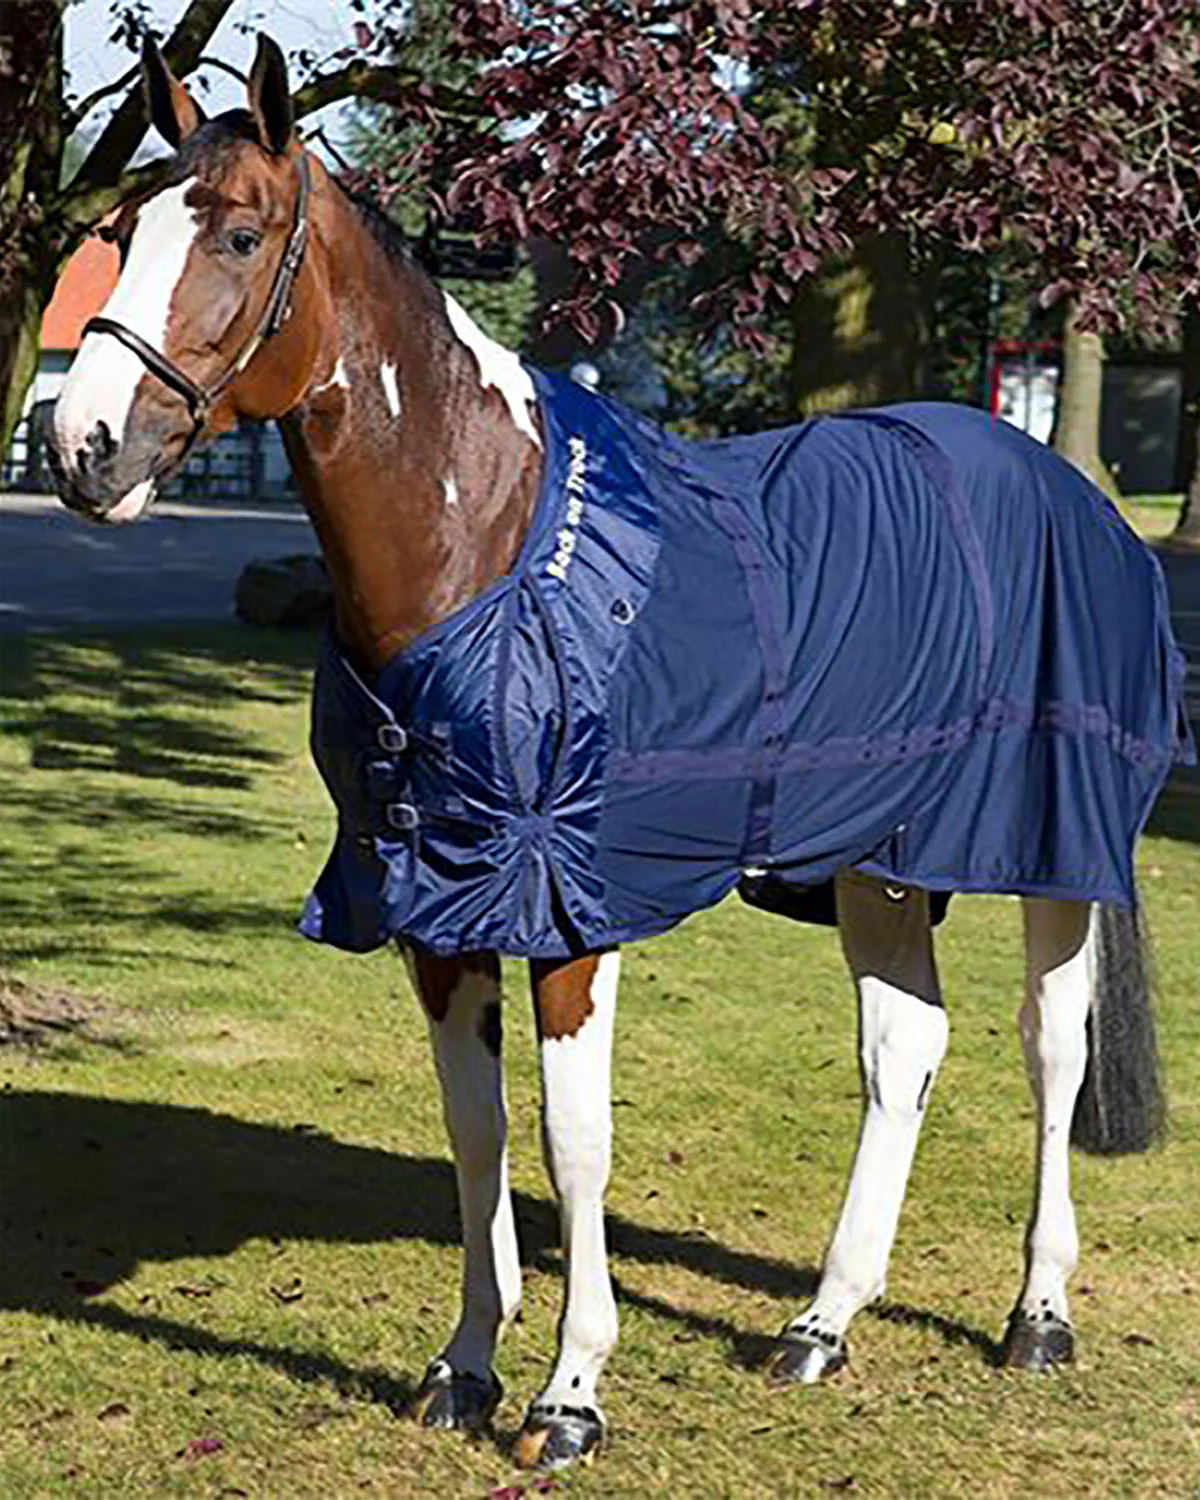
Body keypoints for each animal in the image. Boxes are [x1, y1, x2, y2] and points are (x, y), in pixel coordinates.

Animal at [46, 35, 1189, 1474]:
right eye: (120, 231)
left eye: (240, 235)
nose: (81, 449)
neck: (486, 537)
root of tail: (1081, 502)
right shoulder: (433, 899)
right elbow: (475, 1129)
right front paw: (465, 1366)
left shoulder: (567, 902)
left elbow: (570, 1139)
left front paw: (570, 1395)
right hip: (877, 858)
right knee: (903, 1049)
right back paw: (822, 1325)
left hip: (1049, 846)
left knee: (1050, 1050)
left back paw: (1038, 1315)